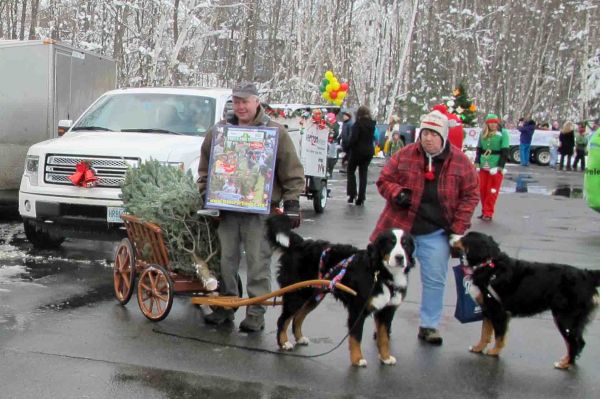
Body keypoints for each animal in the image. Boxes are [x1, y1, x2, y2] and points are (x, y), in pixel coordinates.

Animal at [264, 216, 414, 368]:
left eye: (405, 244)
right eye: (390, 244)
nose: (400, 257)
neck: (381, 273)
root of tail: (300, 243)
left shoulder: (387, 312)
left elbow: (384, 338)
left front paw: (385, 357)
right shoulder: (358, 309)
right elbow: (356, 337)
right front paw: (358, 359)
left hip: (314, 296)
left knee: (298, 316)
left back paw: (299, 338)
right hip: (297, 294)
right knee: (283, 319)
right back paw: (284, 343)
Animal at [458, 233, 596, 370]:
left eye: (464, 238)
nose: (454, 236)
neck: (490, 266)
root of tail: (587, 275)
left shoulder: (498, 311)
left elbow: (499, 336)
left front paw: (494, 352)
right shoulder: (487, 309)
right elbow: (485, 333)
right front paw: (478, 348)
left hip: (565, 317)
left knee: (576, 342)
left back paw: (564, 363)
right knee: (577, 342)